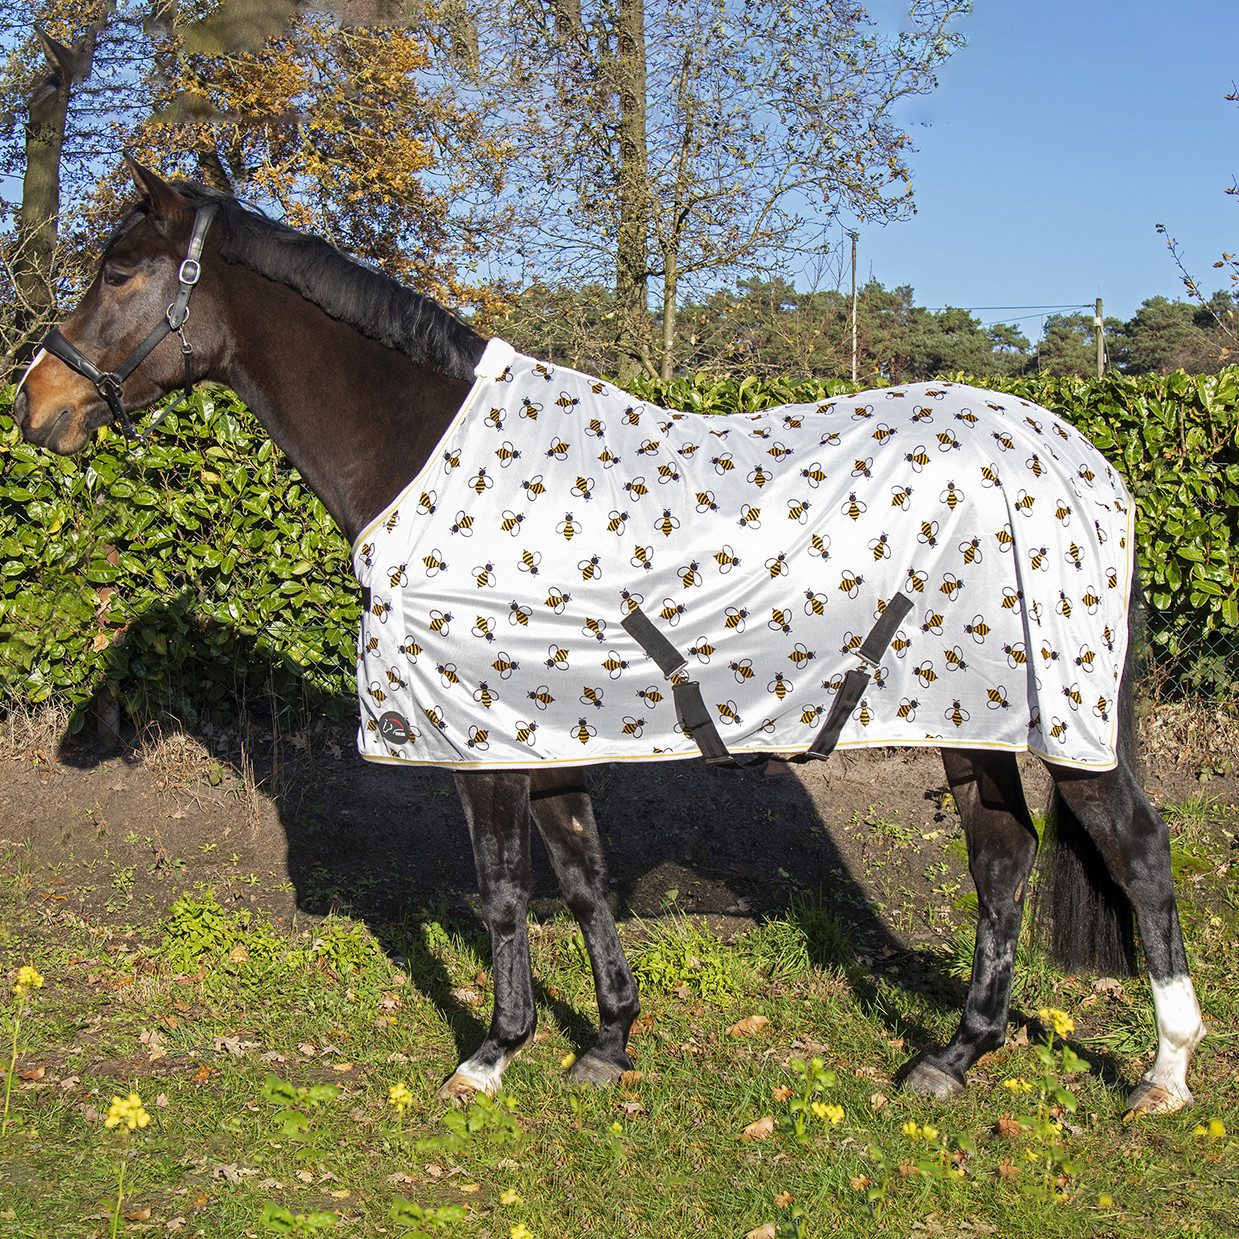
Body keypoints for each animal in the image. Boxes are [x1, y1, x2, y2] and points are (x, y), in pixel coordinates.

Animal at [12, 158, 1206, 1117]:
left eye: (119, 271)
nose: (38, 406)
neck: (427, 456)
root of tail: (1086, 462)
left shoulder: (477, 742)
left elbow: (502, 892)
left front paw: (491, 1056)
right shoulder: (542, 734)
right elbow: (582, 876)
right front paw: (609, 1044)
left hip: (1061, 723)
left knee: (1139, 855)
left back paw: (1164, 1076)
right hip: (977, 717)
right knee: (1004, 860)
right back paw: (951, 1059)